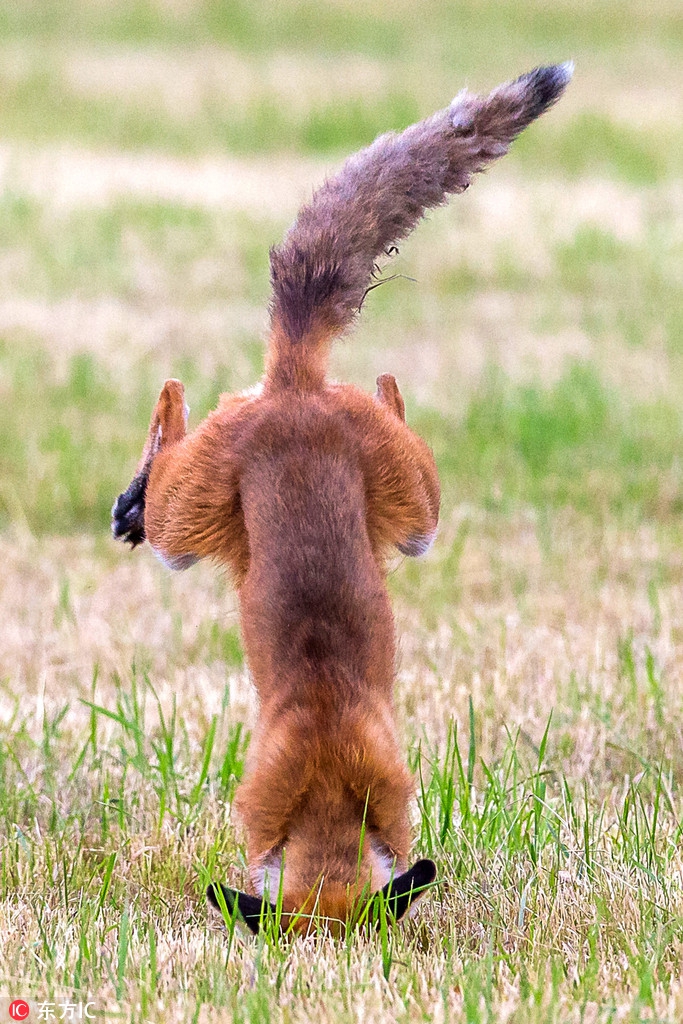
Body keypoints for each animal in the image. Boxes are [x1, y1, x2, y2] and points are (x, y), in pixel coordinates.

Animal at [113, 64, 573, 937]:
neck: (325, 774)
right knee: (173, 408)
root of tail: (295, 391)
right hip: (224, 527)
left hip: (373, 516)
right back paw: (139, 479)